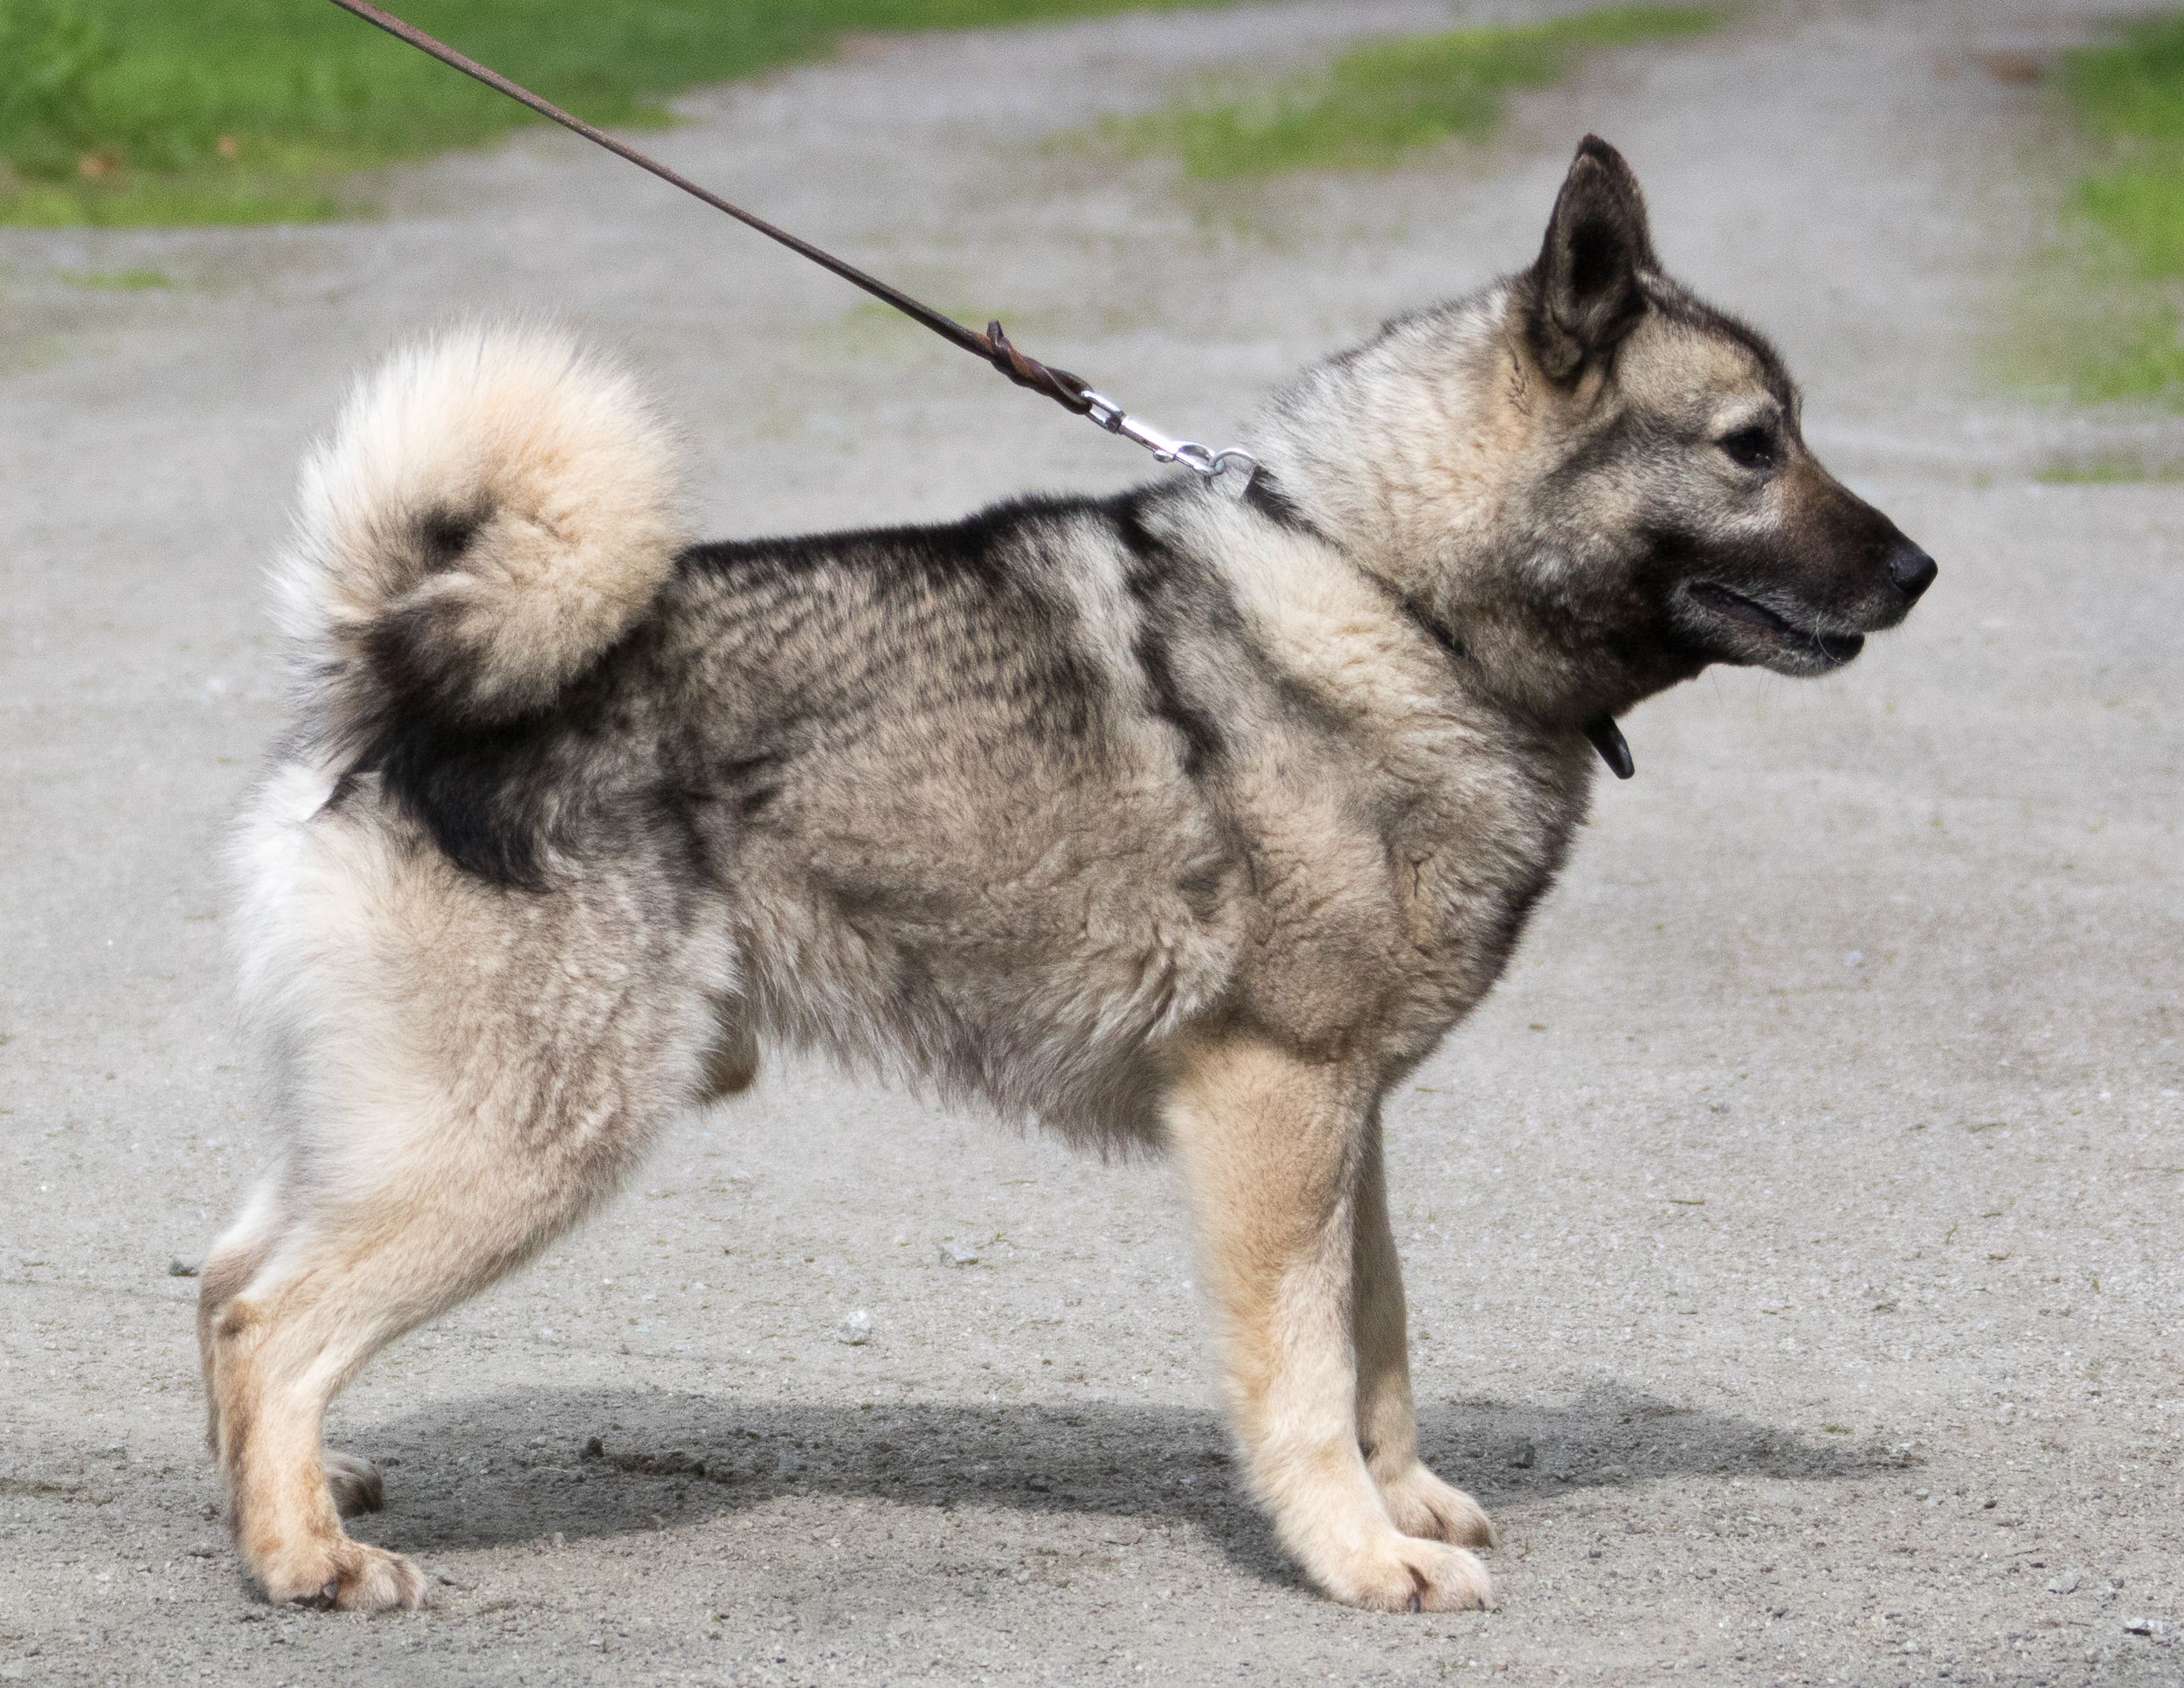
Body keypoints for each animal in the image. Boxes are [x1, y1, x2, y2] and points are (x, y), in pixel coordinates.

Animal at [195, 137, 1934, 1614]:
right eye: (1753, 446)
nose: (1921, 570)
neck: (1393, 599)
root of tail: (387, 677)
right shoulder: (1273, 1100)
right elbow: (1307, 1370)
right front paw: (1362, 1556)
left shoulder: (1345, 1115)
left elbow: (1377, 1330)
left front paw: (1405, 1500)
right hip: (524, 1136)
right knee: (278, 1321)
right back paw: (306, 1560)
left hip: (408, 1118)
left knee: (226, 1282)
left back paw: (292, 1500)